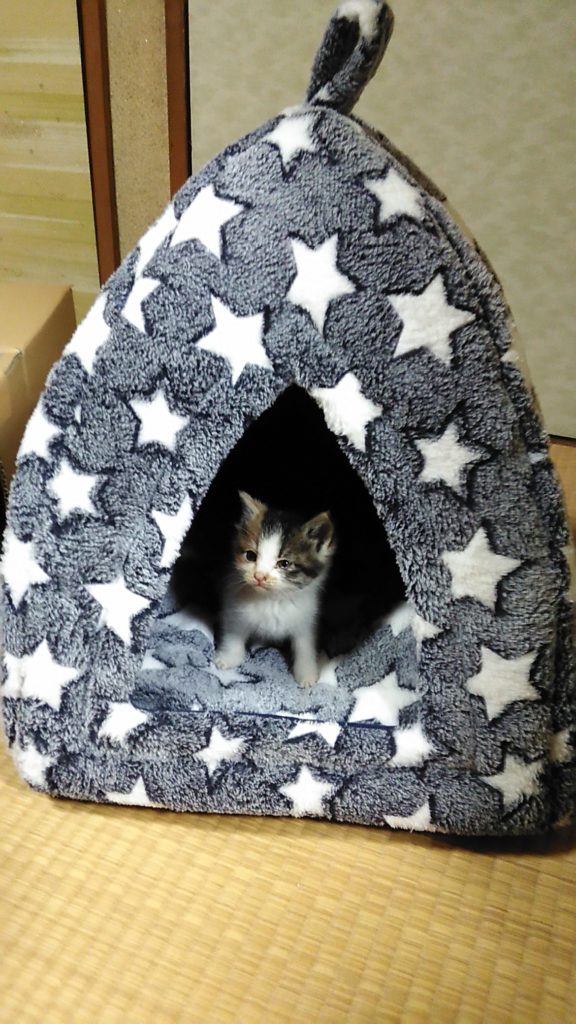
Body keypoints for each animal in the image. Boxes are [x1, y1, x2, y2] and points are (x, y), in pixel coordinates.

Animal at [214, 491, 336, 686]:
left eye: (284, 564)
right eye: (250, 556)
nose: (259, 576)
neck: (272, 599)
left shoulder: (307, 616)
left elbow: (305, 644)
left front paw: (307, 673)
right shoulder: (234, 604)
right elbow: (233, 633)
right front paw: (229, 657)